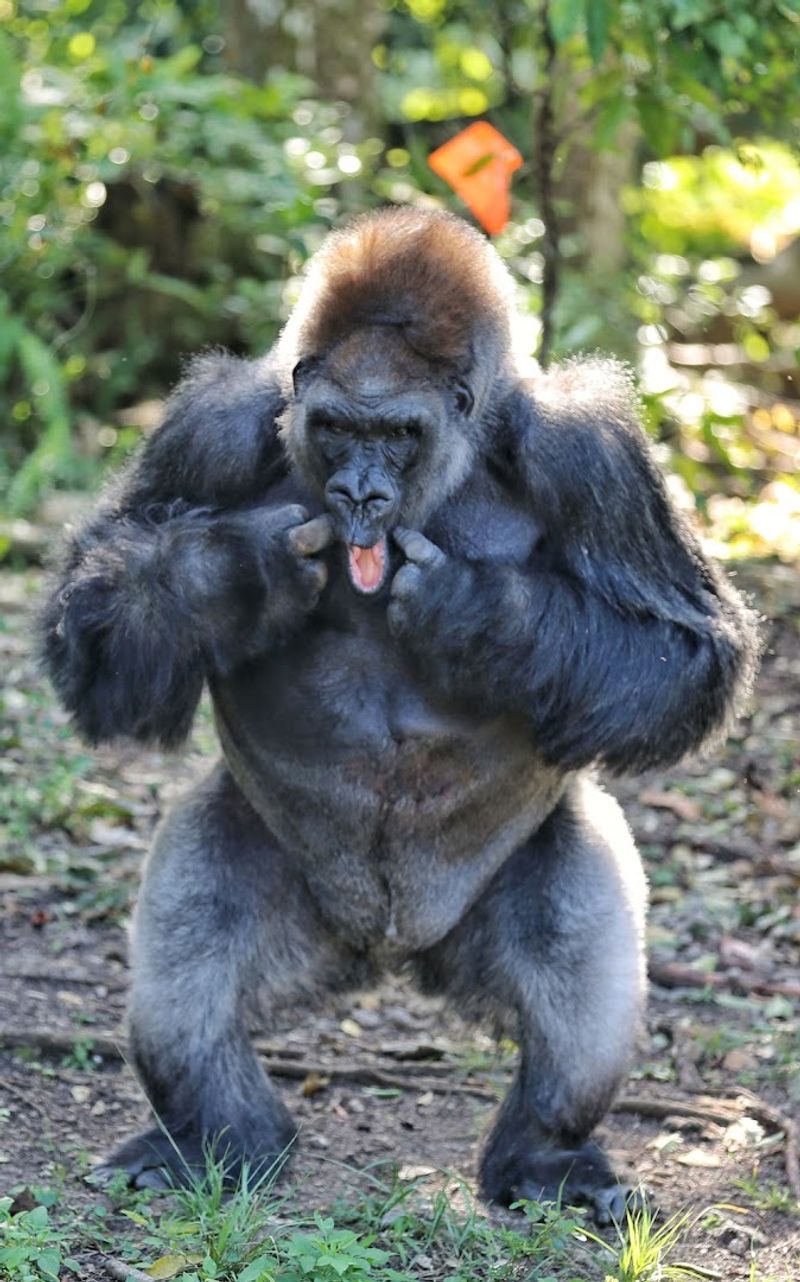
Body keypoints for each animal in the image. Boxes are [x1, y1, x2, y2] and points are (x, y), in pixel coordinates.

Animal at [40, 207, 759, 1222]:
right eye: (338, 430)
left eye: (399, 435)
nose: (359, 496)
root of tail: (386, 957)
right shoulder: (206, 425)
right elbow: (97, 636)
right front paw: (235, 576)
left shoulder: (592, 451)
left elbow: (689, 647)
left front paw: (481, 615)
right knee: (193, 943)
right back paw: (220, 1133)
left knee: (579, 961)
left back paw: (545, 1153)